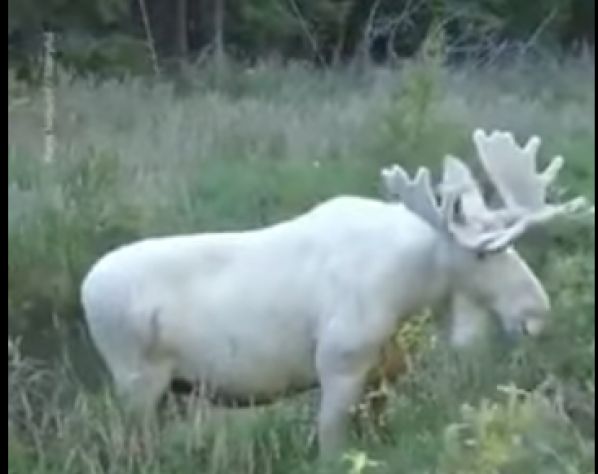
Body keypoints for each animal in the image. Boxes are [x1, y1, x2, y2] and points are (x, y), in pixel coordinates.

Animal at [82, 129, 592, 456]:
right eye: (485, 254)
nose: (536, 310)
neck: (411, 286)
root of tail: (85, 290)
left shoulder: (381, 376)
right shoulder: (339, 361)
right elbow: (330, 447)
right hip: (137, 382)